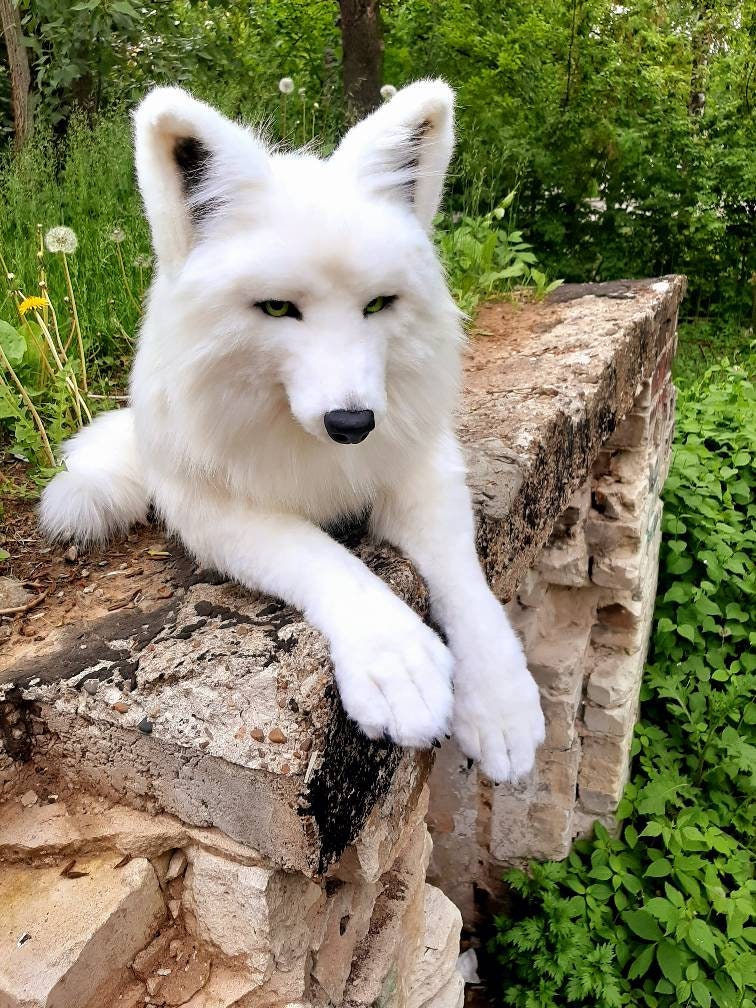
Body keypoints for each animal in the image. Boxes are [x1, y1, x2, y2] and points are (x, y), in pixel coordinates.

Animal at [40, 81, 545, 782]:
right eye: (277, 308)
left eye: (378, 305)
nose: (352, 424)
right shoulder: (208, 509)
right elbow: (324, 558)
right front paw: (397, 661)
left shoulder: (421, 468)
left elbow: (465, 581)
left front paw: (500, 704)